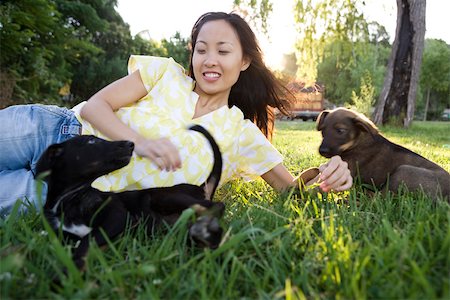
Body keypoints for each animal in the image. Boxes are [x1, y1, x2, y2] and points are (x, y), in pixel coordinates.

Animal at [35, 124, 225, 272]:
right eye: (91, 141)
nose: (130, 143)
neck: (68, 200)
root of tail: (201, 187)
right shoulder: (62, 236)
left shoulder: (116, 215)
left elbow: (87, 241)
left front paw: (69, 272)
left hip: (164, 196)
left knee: (215, 206)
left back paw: (203, 229)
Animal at [316, 108, 450, 202]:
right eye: (323, 130)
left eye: (340, 131)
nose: (322, 151)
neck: (358, 142)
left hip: (403, 172)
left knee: (379, 198)